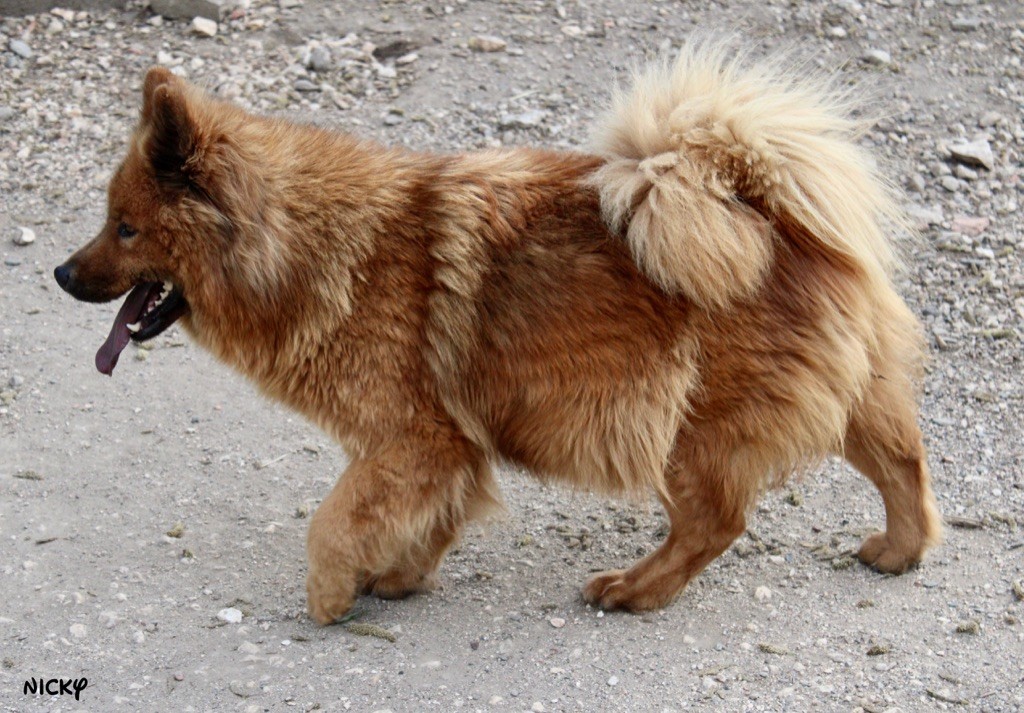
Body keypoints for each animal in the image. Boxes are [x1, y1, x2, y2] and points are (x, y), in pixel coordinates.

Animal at [54, 39, 941, 624]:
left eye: (125, 228)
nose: (61, 275)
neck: (309, 245)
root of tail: (772, 215)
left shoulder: (411, 438)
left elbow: (330, 525)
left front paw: (329, 596)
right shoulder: (441, 444)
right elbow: (423, 518)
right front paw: (398, 576)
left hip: (679, 427)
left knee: (714, 523)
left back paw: (633, 588)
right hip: (846, 397)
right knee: (903, 466)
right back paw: (899, 549)